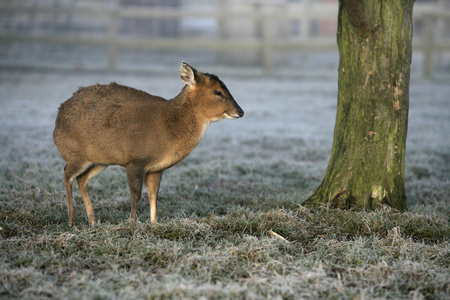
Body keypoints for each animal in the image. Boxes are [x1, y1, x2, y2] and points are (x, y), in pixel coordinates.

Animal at [54, 63, 244, 227]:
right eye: (218, 92)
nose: (240, 111)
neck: (168, 126)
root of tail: (58, 118)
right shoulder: (135, 160)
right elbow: (136, 194)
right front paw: (131, 222)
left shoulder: (156, 167)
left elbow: (153, 194)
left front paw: (154, 223)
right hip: (75, 152)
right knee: (67, 174)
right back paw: (71, 221)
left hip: (99, 160)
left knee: (81, 179)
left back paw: (93, 221)